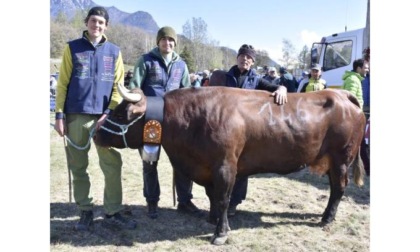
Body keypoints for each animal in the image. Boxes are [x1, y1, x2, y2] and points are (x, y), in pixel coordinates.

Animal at [94, 84, 364, 244]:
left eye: (119, 114)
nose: (96, 133)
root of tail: (340, 94)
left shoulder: (225, 166)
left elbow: (224, 198)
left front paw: (220, 232)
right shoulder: (206, 168)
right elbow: (212, 196)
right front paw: (212, 219)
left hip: (342, 158)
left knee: (339, 188)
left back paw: (327, 218)